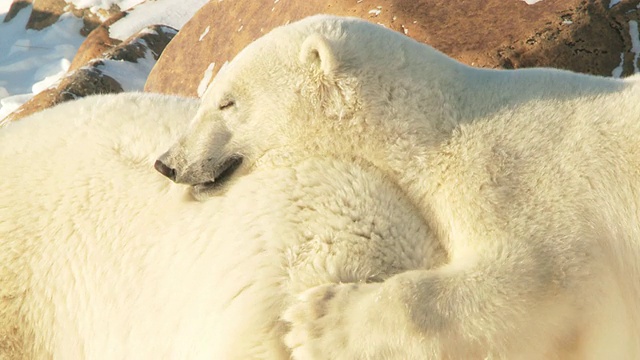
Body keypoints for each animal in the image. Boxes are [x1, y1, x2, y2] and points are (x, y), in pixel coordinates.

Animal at [156, 14, 640, 360]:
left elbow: (544, 283)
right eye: (207, 97)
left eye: (227, 102)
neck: (442, 126)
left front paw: (314, 320)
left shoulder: (518, 177)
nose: (168, 163)